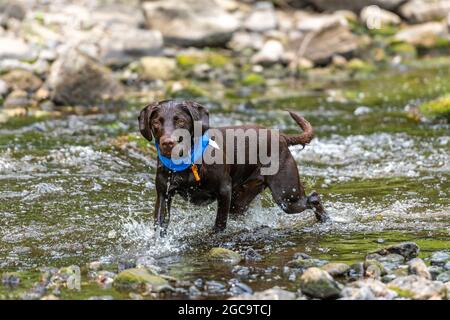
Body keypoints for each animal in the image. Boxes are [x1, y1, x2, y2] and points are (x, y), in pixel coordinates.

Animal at [139, 99, 328, 234]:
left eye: (180, 122)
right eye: (156, 123)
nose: (167, 143)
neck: (188, 162)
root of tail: (281, 136)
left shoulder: (224, 191)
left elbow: (220, 223)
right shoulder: (163, 195)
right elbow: (159, 225)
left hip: (286, 196)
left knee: (313, 198)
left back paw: (325, 220)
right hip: (241, 201)